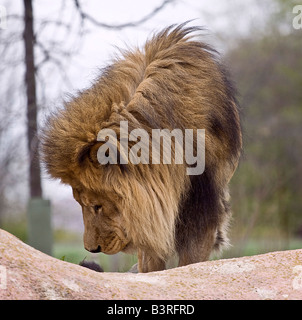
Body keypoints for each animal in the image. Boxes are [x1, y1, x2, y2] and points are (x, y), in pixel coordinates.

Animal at [40, 23, 243, 272]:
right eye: (81, 204)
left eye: (97, 206)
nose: (91, 249)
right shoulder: (148, 211)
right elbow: (150, 263)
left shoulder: (203, 205)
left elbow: (191, 260)